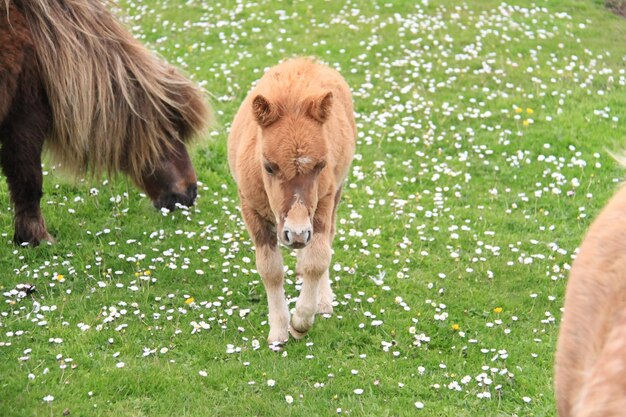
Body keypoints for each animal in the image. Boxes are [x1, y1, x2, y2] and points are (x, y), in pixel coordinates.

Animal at [229, 57, 356, 344]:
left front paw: (300, 322)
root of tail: (306, 60)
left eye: (321, 165)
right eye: (269, 166)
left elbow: (318, 259)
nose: (296, 234)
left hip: (336, 191)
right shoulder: (250, 207)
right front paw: (278, 331)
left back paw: (323, 298)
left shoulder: (323, 201)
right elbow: (270, 269)